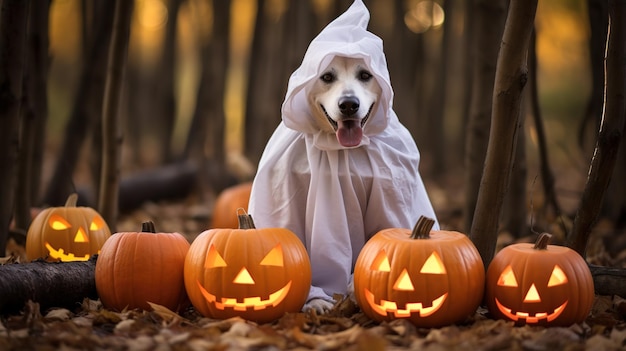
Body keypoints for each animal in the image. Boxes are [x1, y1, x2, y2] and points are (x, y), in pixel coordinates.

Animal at [246, 0, 436, 314]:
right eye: (327, 77)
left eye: (365, 75)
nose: (349, 104)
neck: (340, 150)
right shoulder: (284, 187)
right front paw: (316, 301)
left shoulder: (391, 189)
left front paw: (354, 292)